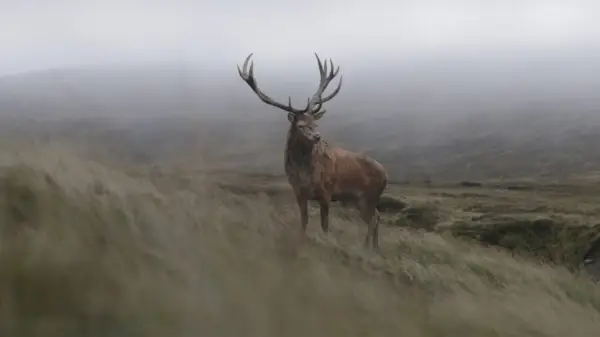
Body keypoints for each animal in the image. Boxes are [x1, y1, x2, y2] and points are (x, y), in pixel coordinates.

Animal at [237, 53, 386, 248]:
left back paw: (367, 246)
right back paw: (373, 247)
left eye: (315, 123)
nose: (317, 137)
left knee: (374, 219)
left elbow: (325, 225)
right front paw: (301, 240)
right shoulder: (298, 192)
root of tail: (386, 175)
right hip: (360, 199)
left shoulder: (326, 191)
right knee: (377, 216)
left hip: (368, 196)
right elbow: (304, 221)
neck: (303, 174)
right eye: (300, 125)